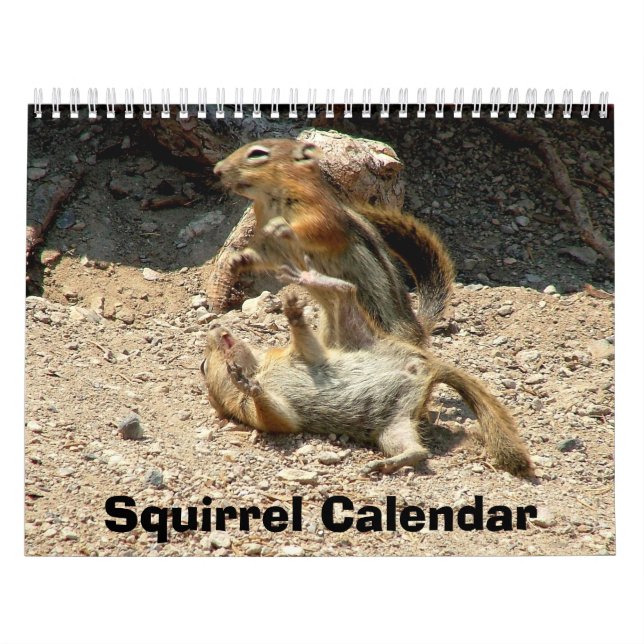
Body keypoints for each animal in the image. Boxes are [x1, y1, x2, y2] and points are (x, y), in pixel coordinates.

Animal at [201, 263, 534, 478]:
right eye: (204, 367)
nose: (214, 327)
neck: (263, 368)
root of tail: (424, 365)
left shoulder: (302, 355)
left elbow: (306, 347)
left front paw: (293, 314)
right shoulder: (253, 413)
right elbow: (278, 416)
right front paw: (245, 383)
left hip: (352, 337)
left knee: (346, 292)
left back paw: (307, 278)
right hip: (393, 426)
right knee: (419, 451)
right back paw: (384, 465)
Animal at [212, 138, 455, 348]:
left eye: (257, 153)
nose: (217, 170)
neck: (271, 200)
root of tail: (418, 331)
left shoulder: (323, 212)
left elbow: (323, 231)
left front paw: (284, 227)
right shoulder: (272, 242)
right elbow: (266, 255)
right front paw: (238, 260)